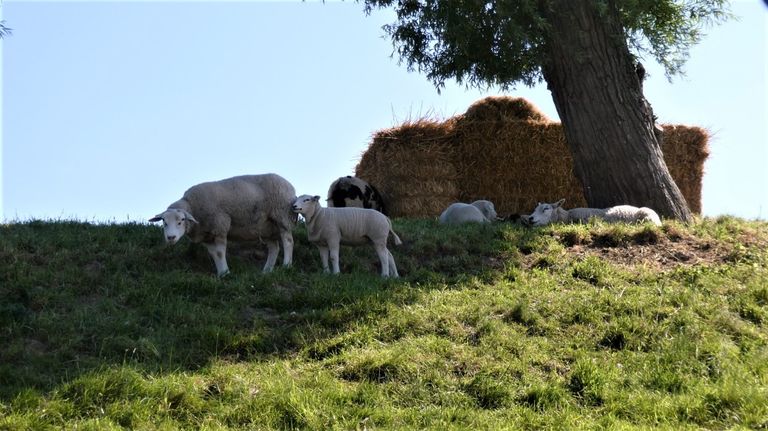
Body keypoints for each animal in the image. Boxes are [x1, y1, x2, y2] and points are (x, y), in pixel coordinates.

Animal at [149, 173, 296, 276]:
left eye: (181, 221)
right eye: (164, 222)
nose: (171, 237)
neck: (193, 206)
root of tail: (291, 187)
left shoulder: (220, 226)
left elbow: (220, 253)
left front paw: (226, 273)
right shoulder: (206, 236)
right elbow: (214, 254)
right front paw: (221, 273)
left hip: (282, 215)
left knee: (288, 241)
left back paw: (286, 265)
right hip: (266, 227)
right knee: (274, 247)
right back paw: (267, 271)